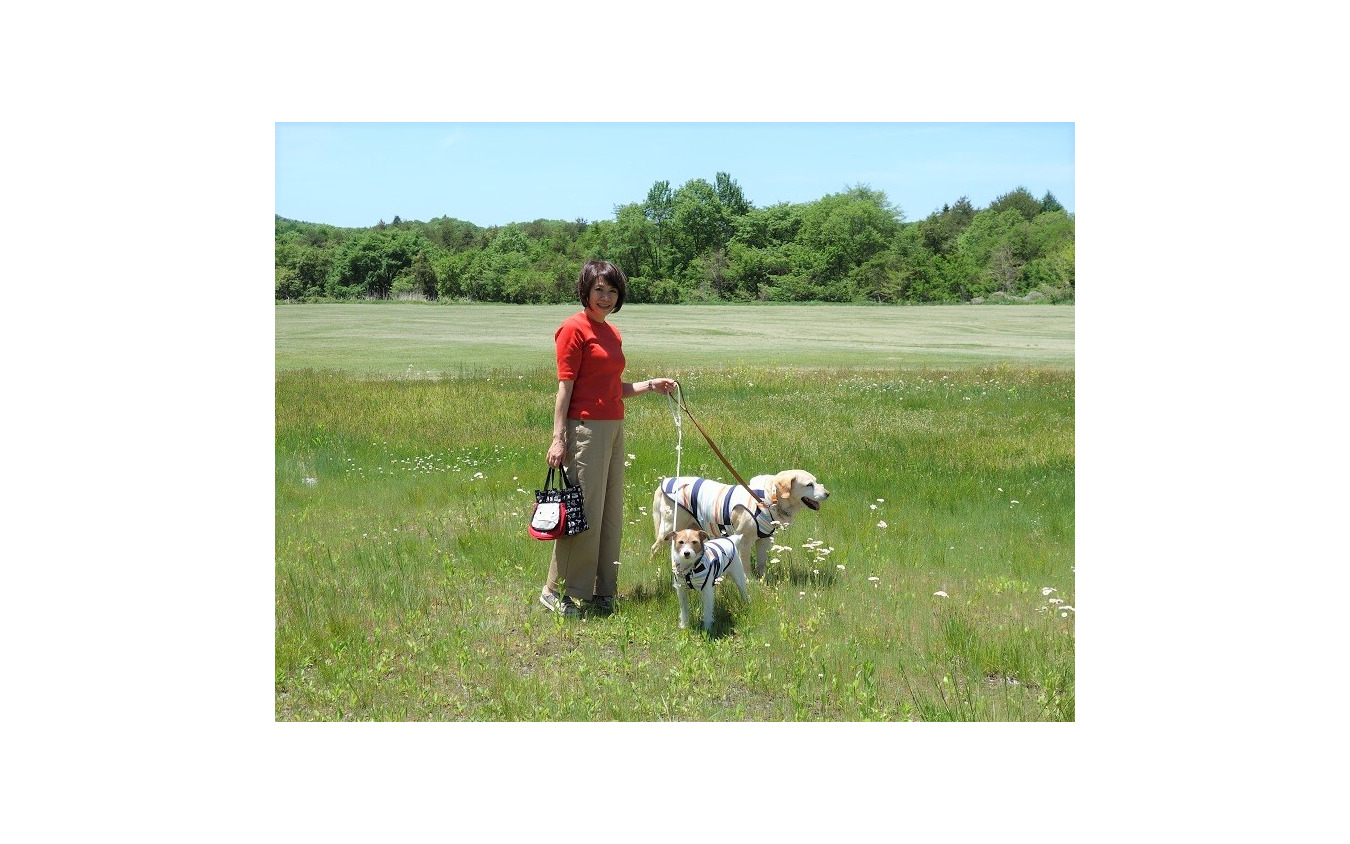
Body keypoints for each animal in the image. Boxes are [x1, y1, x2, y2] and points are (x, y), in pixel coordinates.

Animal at [648, 467, 826, 577]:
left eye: (816, 482)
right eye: (809, 485)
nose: (828, 493)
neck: (768, 499)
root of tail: (665, 481)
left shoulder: (764, 541)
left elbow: (762, 563)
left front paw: (763, 579)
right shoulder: (744, 541)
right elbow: (745, 566)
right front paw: (750, 581)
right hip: (670, 529)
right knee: (654, 548)